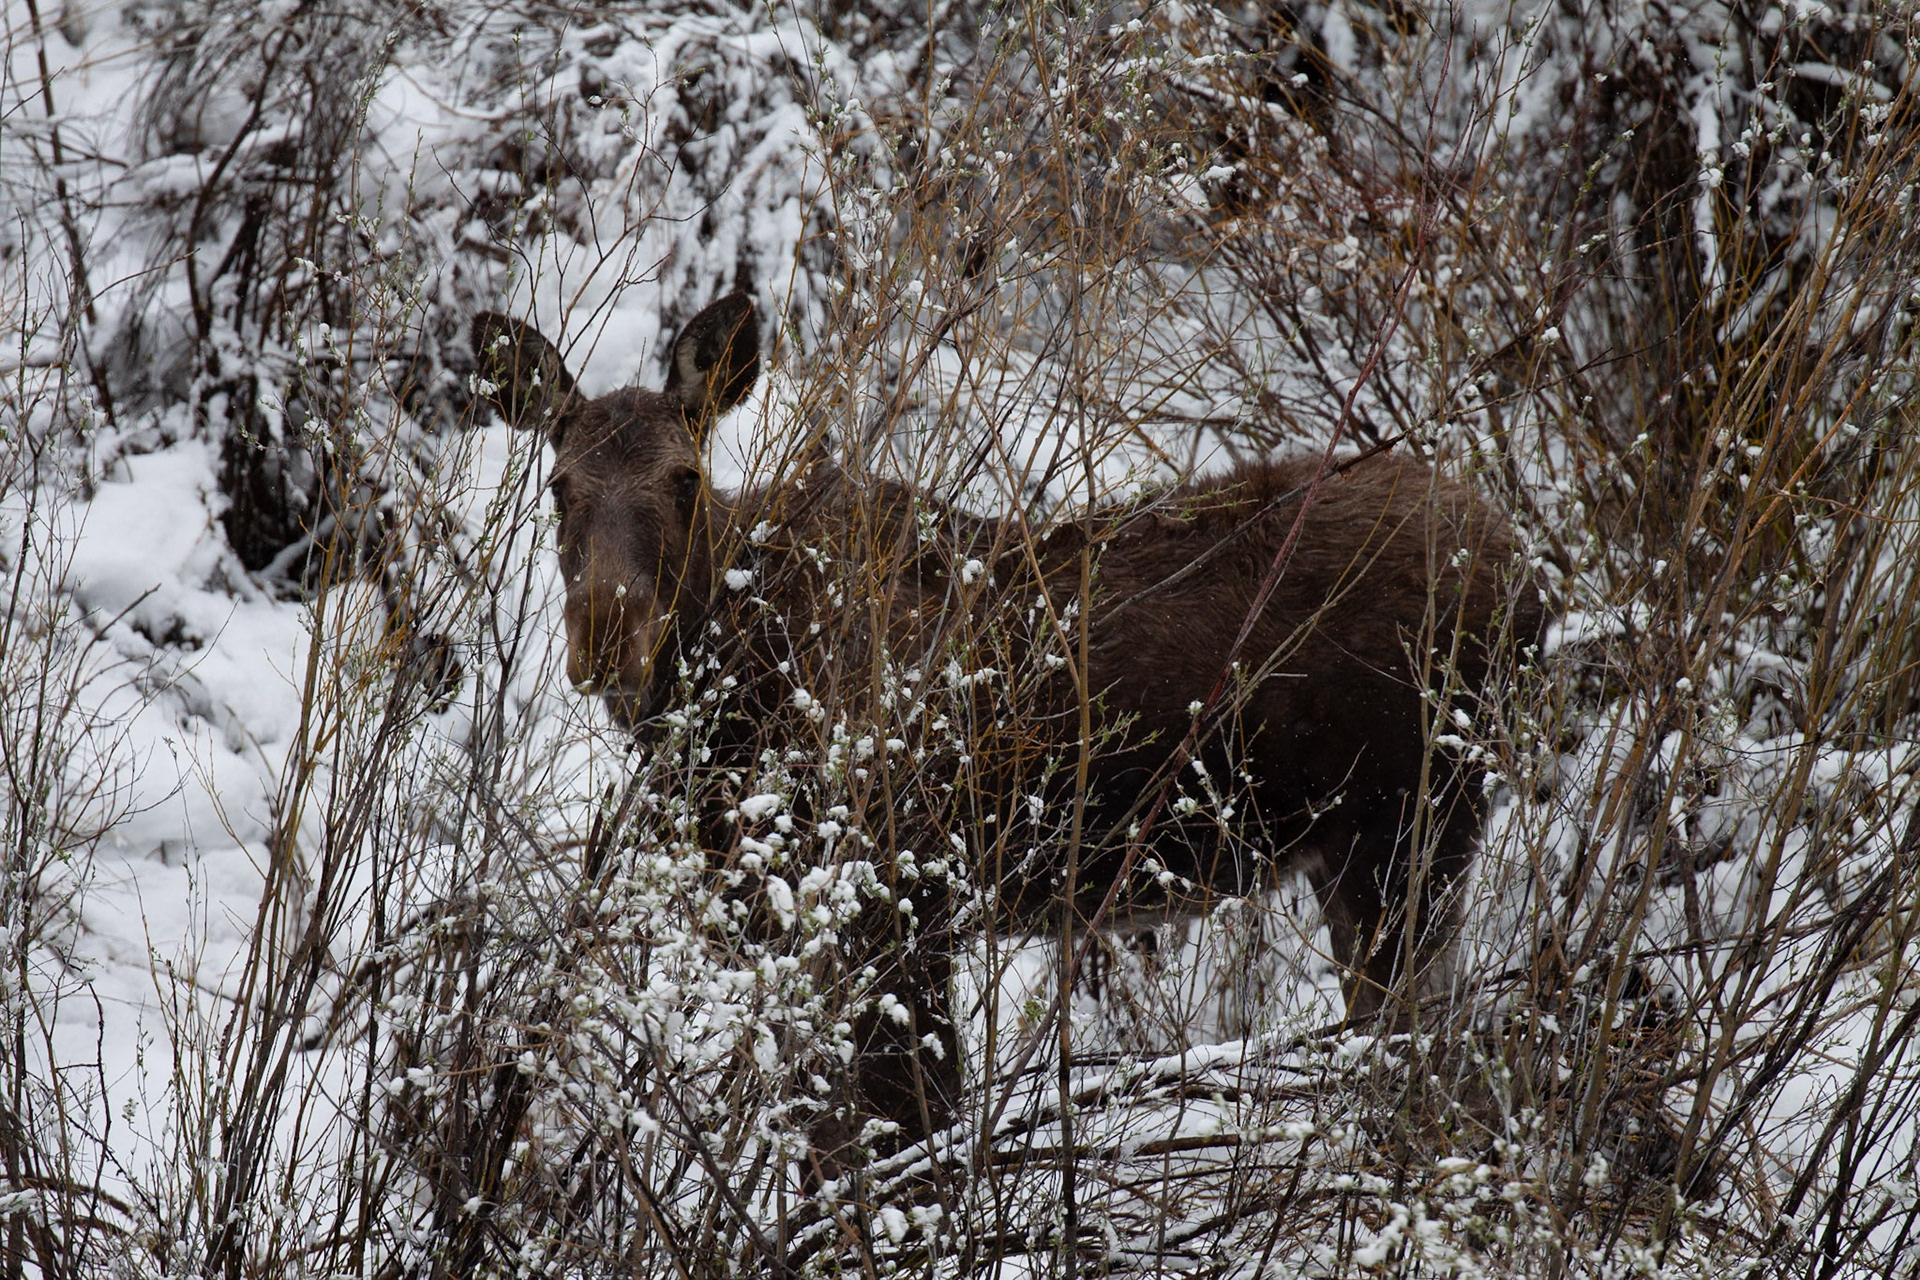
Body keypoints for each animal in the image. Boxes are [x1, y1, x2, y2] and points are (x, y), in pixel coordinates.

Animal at [471, 293, 1545, 1181]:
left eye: (687, 478)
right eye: (558, 486)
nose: (607, 637)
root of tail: (1527, 571)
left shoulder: (902, 905)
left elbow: (909, 1148)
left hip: (1412, 830)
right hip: (1359, 851)